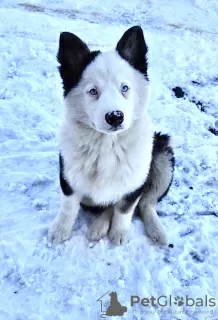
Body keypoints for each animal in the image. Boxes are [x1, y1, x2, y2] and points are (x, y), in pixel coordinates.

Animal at [48, 26, 175, 246]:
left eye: (124, 88)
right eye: (93, 91)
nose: (115, 117)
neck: (106, 145)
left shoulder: (136, 181)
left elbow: (125, 208)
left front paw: (119, 232)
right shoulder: (69, 174)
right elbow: (68, 206)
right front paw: (60, 230)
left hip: (162, 155)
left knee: (147, 202)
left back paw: (157, 231)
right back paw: (98, 226)